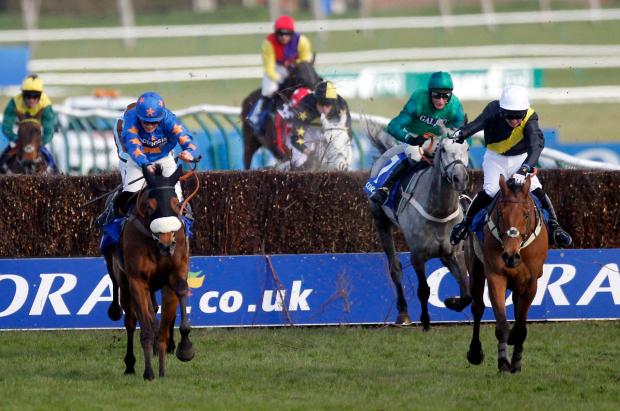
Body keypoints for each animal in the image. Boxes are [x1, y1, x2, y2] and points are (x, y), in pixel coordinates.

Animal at [103, 165, 194, 384]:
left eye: (176, 203)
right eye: (149, 205)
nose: (167, 243)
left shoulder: (174, 276)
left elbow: (169, 318)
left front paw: (183, 349)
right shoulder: (137, 282)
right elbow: (145, 329)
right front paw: (149, 372)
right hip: (124, 284)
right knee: (130, 321)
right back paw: (130, 364)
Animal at [368, 132, 470, 332]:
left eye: (467, 148)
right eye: (443, 149)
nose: (460, 178)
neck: (439, 212)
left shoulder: (453, 253)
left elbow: (466, 291)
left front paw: (452, 301)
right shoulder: (417, 255)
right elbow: (424, 290)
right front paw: (426, 322)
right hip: (381, 222)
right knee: (395, 268)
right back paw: (403, 314)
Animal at [464, 174, 548, 374]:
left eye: (526, 214)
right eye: (501, 214)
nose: (510, 256)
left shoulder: (531, 282)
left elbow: (521, 326)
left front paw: (516, 360)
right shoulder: (496, 276)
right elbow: (502, 324)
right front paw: (503, 362)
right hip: (476, 269)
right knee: (477, 307)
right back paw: (475, 352)